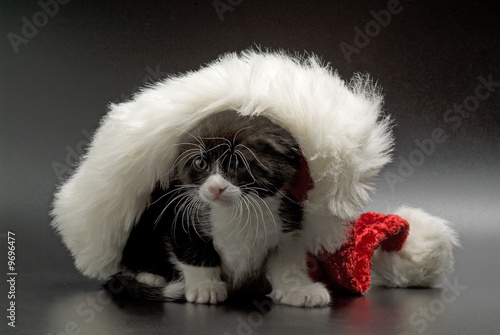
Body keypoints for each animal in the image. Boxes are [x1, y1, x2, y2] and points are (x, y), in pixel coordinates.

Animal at [114, 110, 332, 308]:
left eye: (237, 163)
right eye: (201, 162)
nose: (215, 188)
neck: (239, 211)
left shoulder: (288, 223)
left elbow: (288, 263)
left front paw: (299, 290)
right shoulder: (180, 214)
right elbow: (193, 251)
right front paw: (205, 287)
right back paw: (149, 277)